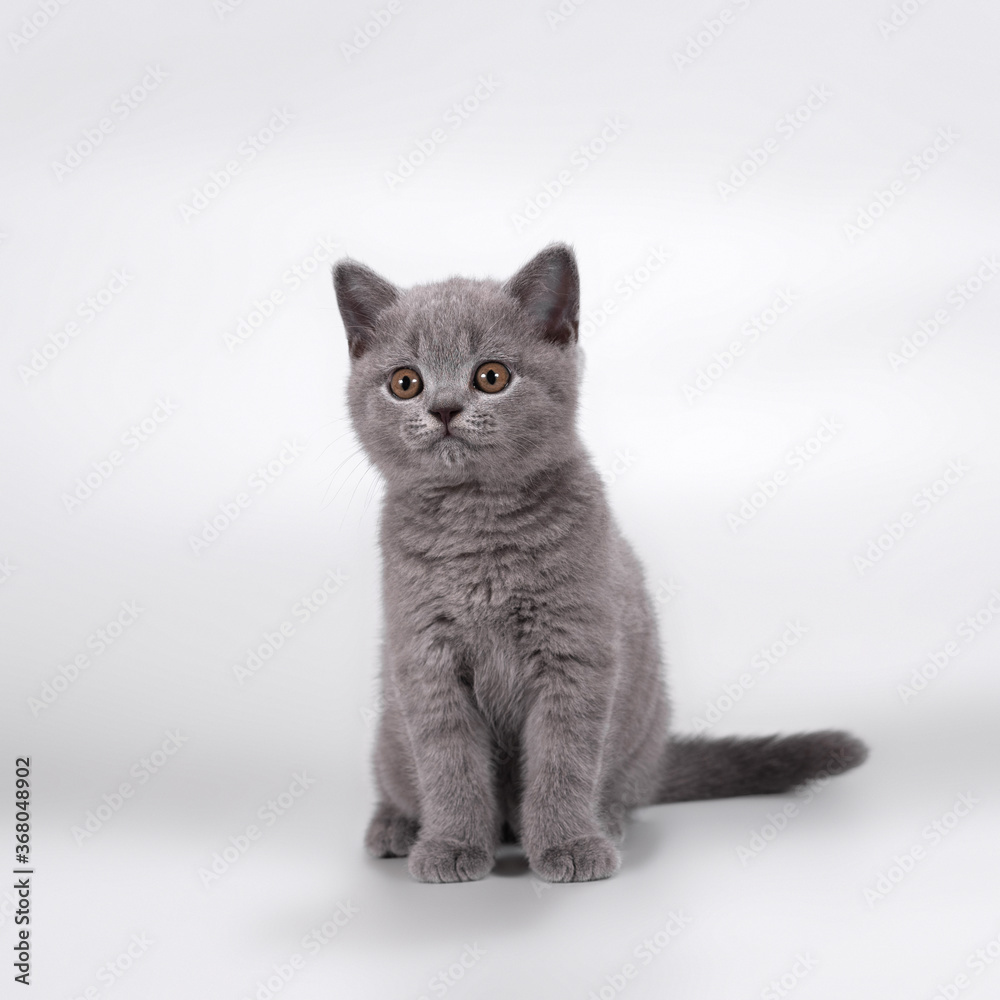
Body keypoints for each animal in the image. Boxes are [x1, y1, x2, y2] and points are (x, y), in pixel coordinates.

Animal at [334, 244, 868, 884]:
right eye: (405, 383)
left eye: (491, 376)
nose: (442, 408)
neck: (478, 526)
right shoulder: (425, 660)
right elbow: (448, 764)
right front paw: (453, 846)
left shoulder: (576, 652)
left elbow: (563, 759)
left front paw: (568, 844)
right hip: (388, 735)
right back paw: (395, 827)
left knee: (621, 790)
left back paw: (604, 819)